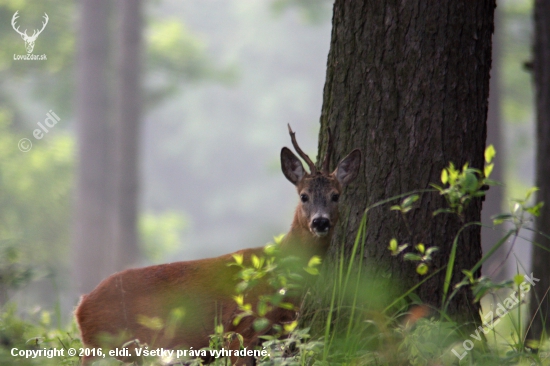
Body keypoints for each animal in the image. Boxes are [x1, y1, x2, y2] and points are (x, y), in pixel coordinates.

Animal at [75, 125, 364, 364]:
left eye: (335, 196)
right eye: (304, 196)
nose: (320, 222)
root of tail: (81, 306)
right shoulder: (238, 331)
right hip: (105, 345)